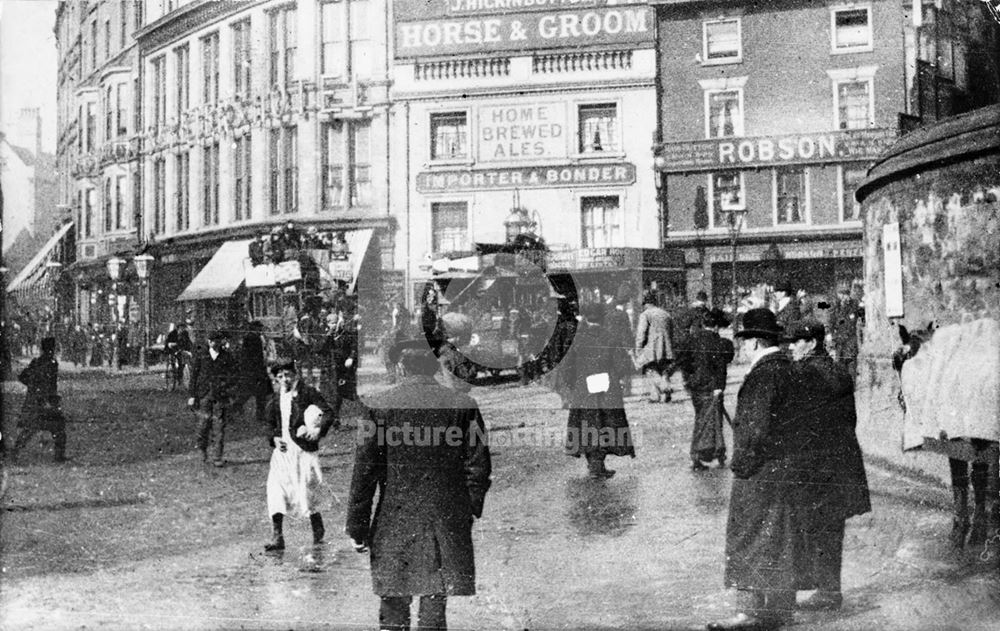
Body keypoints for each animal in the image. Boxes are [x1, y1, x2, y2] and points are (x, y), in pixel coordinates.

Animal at [892, 324, 1000, 552]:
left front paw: (966, 531)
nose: (901, 399)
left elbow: (967, 479)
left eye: (896, 360)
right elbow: (969, 480)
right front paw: (971, 529)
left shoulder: (967, 441)